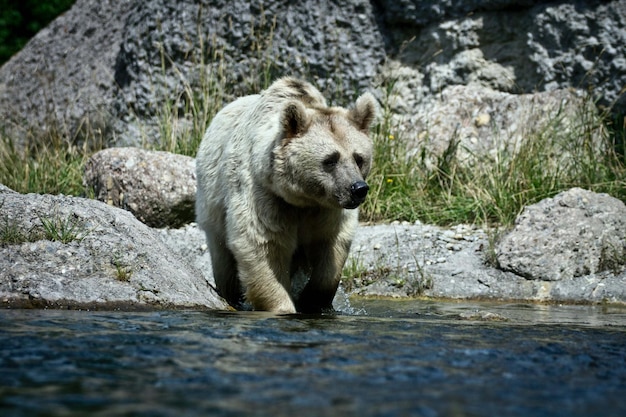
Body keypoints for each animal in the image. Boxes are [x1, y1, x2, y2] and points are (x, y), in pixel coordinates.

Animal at [195, 77, 376, 312]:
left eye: (359, 158)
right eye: (330, 160)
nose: (358, 188)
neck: (303, 198)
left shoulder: (328, 210)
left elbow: (331, 249)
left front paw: (312, 300)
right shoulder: (265, 196)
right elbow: (262, 245)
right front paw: (283, 306)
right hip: (212, 209)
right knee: (223, 261)